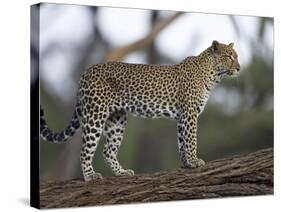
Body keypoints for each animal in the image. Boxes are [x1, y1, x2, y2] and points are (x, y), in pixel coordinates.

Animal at [40, 40, 241, 181]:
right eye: (229, 57)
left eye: (236, 56)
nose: (239, 68)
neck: (213, 75)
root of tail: (86, 72)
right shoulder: (189, 112)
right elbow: (191, 139)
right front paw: (194, 161)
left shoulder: (182, 116)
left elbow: (182, 140)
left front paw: (185, 164)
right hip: (95, 114)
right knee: (85, 150)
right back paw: (90, 176)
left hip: (117, 120)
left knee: (107, 151)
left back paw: (122, 173)